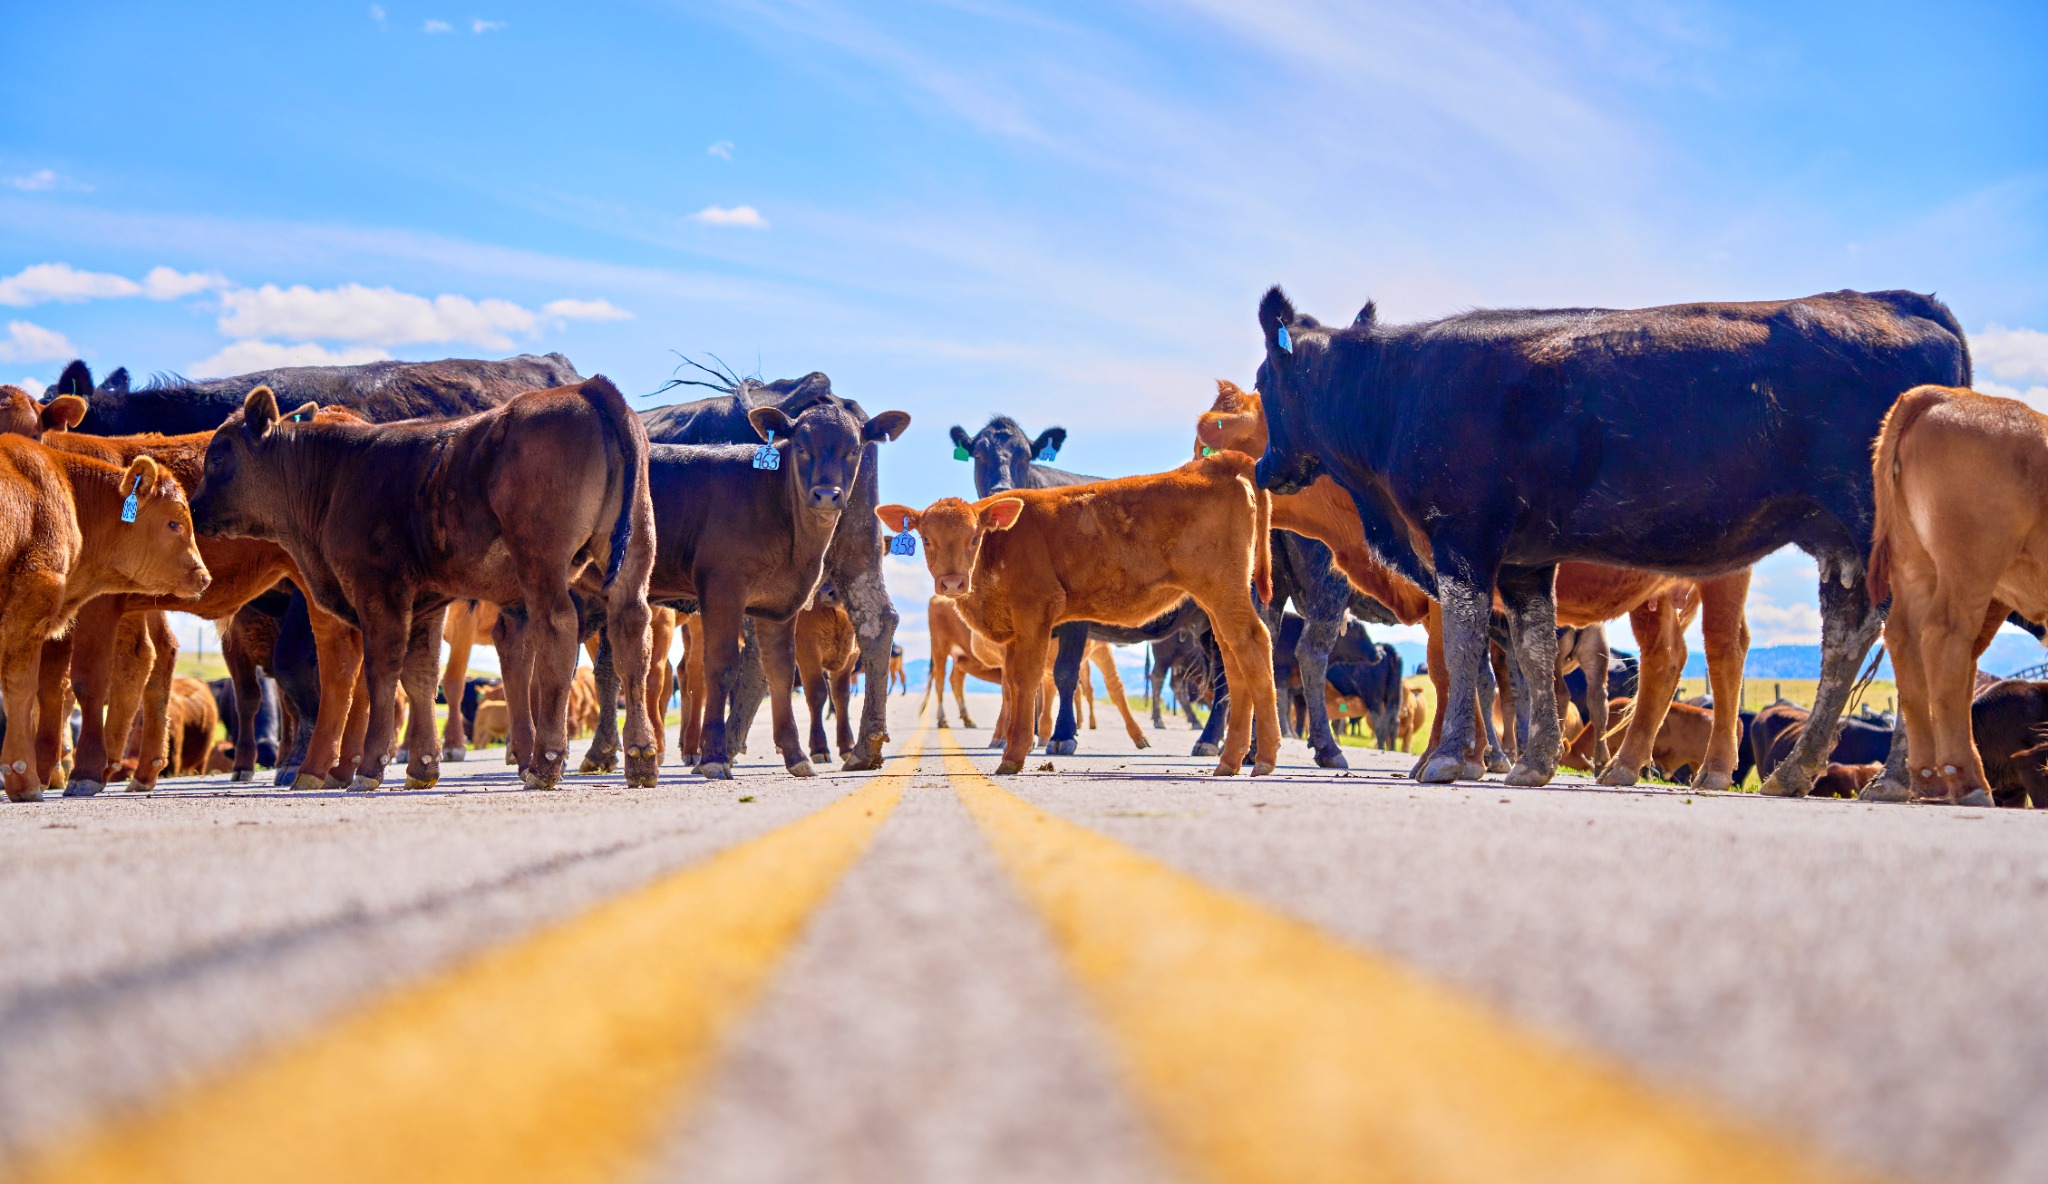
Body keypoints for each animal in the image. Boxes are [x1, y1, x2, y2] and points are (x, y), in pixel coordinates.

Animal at [189, 379, 658, 791]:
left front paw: (369, 769)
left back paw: (544, 766)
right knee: (632, 632)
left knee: (558, 630)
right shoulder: (428, 603)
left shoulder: (379, 591)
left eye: (217, 458)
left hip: (542, 563)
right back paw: (640, 758)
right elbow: (420, 676)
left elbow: (382, 673)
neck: (338, 473)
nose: (192, 509)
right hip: (633, 553)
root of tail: (586, 388)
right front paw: (422, 766)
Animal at [878, 451, 1279, 776]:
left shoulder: (1036, 612)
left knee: (1253, 644)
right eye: (926, 539)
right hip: (1215, 604)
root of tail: (1212, 465)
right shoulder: (1014, 630)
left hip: (1223, 592)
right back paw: (1230, 759)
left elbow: (1028, 681)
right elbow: (1012, 685)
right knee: (1233, 659)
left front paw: (1015, 755)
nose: (952, 583)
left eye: (974, 538)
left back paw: (1262, 757)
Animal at [1197, 380, 1754, 788]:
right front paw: (1470, 756)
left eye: (1228, 433)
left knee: (1722, 652)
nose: (1207, 478)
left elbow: (1464, 673)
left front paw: (1458, 757)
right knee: (1665, 660)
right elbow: (1474, 675)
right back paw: (1623, 767)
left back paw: (1713, 770)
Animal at [1866, 386, 2048, 804]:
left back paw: (1929, 778)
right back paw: (1966, 781)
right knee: (1944, 637)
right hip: (1971, 566)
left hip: (1916, 566)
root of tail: (1943, 396)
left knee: (1908, 641)